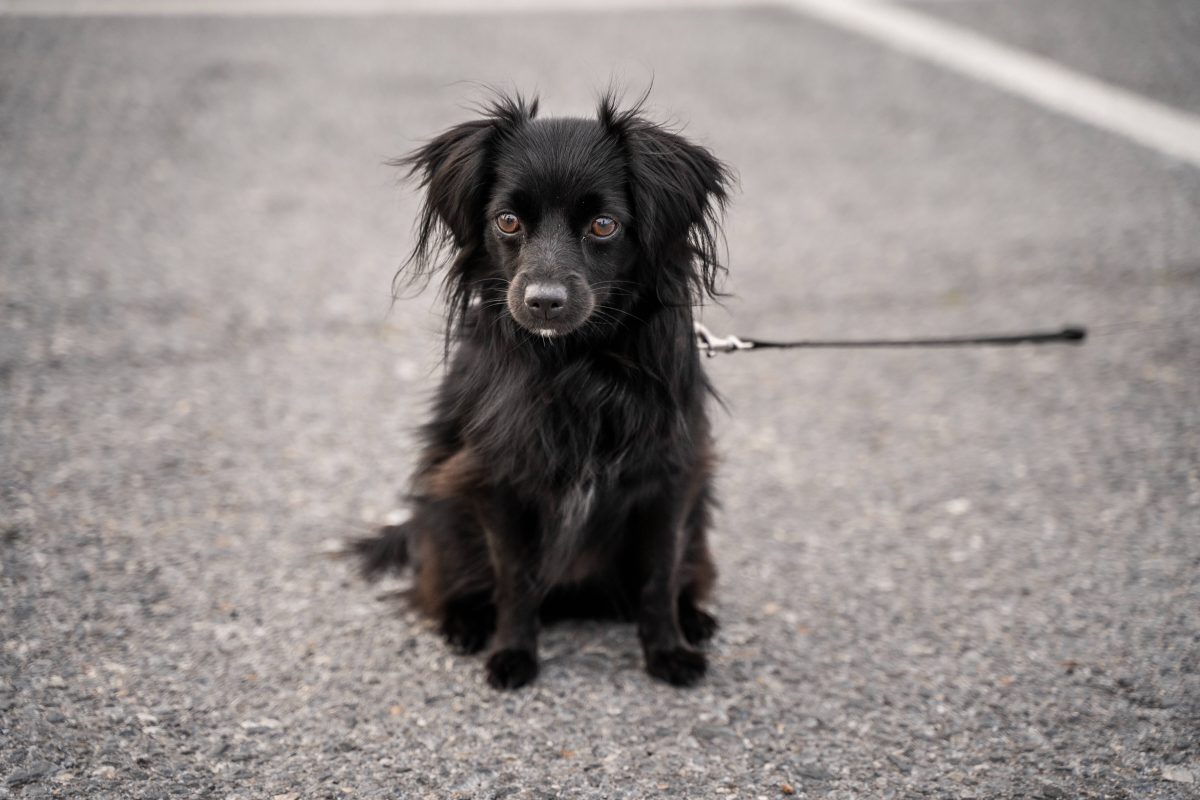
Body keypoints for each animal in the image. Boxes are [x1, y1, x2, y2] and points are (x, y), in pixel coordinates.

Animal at [352, 89, 729, 690]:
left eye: (603, 225)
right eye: (507, 221)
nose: (543, 301)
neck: (576, 362)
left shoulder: (669, 477)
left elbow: (658, 574)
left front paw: (669, 650)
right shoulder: (497, 479)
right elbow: (515, 579)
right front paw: (512, 653)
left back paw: (694, 616)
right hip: (445, 516)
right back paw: (464, 623)